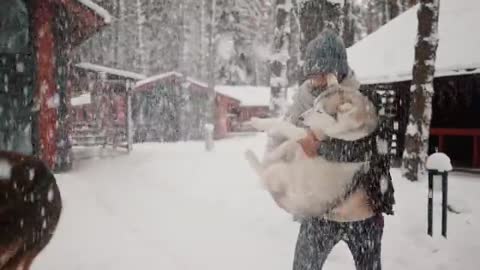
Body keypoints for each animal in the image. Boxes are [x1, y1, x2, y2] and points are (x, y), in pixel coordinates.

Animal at [246, 75, 376, 217]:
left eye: (319, 111)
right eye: (313, 105)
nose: (301, 117)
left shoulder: (308, 140)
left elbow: (287, 127)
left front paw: (260, 123)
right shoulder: (306, 138)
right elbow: (287, 142)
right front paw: (273, 153)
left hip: (280, 173)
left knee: (263, 173)